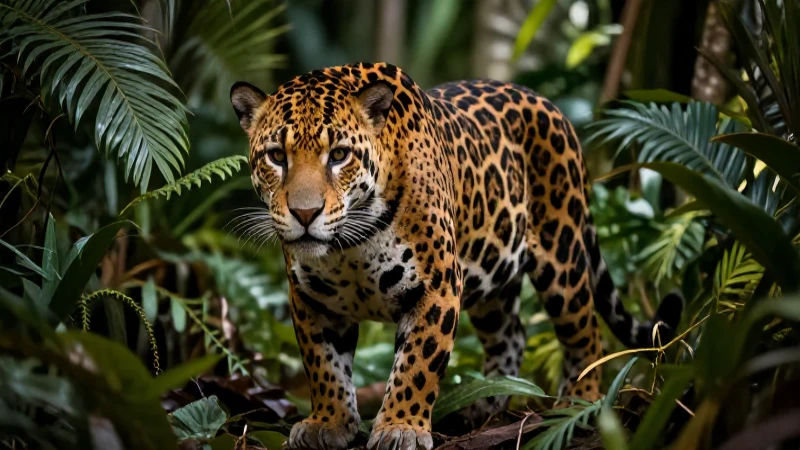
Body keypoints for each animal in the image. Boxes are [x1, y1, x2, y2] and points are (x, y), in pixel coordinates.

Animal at [230, 62, 683, 450]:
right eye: (276, 156)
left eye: (339, 155)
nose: (305, 214)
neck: (350, 244)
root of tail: (550, 104)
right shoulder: (311, 298)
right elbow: (324, 365)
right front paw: (329, 423)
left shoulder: (438, 286)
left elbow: (417, 364)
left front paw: (400, 428)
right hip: (493, 273)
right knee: (511, 334)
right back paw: (485, 404)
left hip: (562, 256)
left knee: (585, 332)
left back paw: (580, 404)